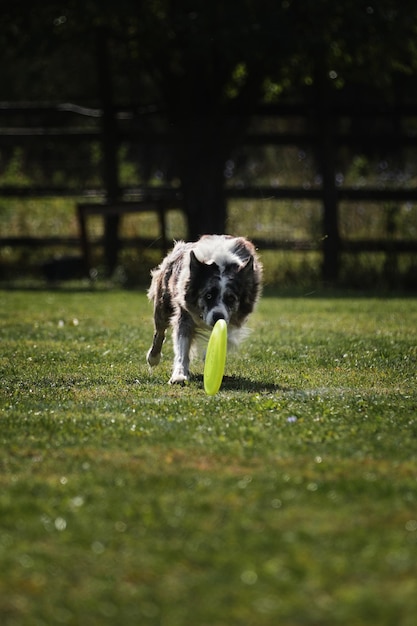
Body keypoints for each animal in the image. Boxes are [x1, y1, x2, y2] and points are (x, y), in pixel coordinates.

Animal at [146, 233, 262, 382]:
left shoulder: (234, 318)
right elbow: (182, 347)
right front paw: (179, 375)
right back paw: (153, 357)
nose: (218, 316)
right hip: (163, 303)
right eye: (208, 296)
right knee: (160, 331)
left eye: (231, 298)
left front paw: (211, 355)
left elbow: (227, 336)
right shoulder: (184, 312)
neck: (222, 264)